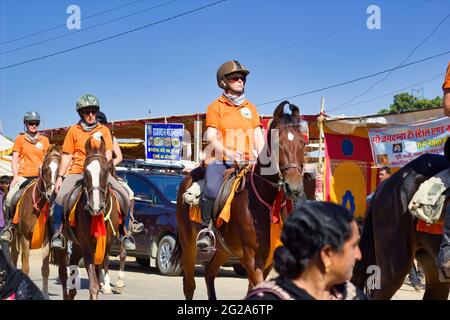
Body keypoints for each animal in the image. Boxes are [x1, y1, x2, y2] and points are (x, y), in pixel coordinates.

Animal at [8, 144, 62, 298]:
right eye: (46, 169)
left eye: (59, 169)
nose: (51, 194)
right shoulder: (25, 238)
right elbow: (25, 268)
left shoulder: (46, 240)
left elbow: (45, 269)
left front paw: (45, 294)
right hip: (15, 235)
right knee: (14, 256)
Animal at [55, 138, 120, 300]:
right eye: (85, 171)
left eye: (106, 170)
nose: (95, 206)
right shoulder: (87, 246)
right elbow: (94, 285)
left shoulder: (104, 246)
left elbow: (98, 275)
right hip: (64, 244)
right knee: (63, 274)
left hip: (77, 245)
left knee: (72, 267)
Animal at [172, 100, 306, 300]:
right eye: (277, 143)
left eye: (303, 143)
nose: (294, 187)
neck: (266, 202)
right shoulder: (252, 259)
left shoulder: (269, 262)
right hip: (188, 244)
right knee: (189, 285)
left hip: (223, 249)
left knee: (209, 272)